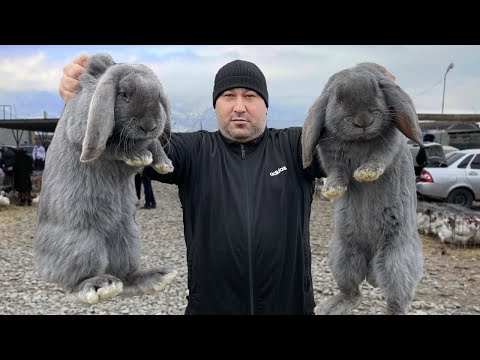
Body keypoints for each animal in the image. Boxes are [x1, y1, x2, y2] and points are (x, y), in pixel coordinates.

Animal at [34, 51, 176, 304]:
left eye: (158, 96)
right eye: (124, 94)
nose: (149, 124)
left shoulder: (148, 138)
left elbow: (153, 143)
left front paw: (163, 164)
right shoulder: (84, 131)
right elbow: (114, 145)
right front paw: (139, 157)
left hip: (129, 237)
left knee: (125, 277)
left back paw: (156, 278)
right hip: (83, 243)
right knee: (73, 283)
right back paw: (100, 286)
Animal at [304, 62, 424, 316]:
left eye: (378, 91)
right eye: (338, 100)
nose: (363, 120)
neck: (359, 141)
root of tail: (371, 270)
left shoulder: (387, 145)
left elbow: (378, 158)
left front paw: (364, 174)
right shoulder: (330, 155)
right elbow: (337, 171)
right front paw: (332, 190)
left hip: (395, 261)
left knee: (397, 298)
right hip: (342, 253)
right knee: (353, 292)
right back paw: (330, 306)